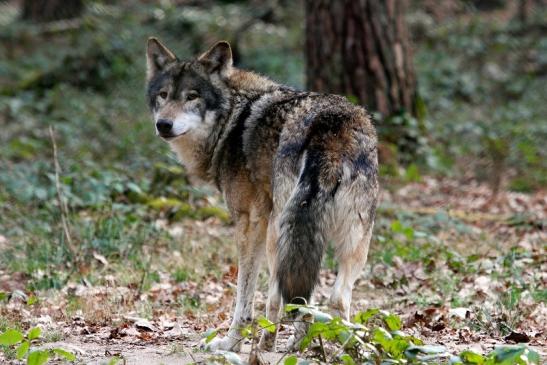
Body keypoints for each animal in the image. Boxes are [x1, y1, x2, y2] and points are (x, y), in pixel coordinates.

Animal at [143, 38, 378, 352]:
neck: (231, 119)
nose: (164, 124)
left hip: (278, 235)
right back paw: (325, 349)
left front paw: (230, 344)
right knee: (332, 299)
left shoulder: (249, 222)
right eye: (164, 95)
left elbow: (244, 296)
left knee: (278, 299)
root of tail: (330, 126)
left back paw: (267, 346)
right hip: (354, 238)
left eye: (192, 96)